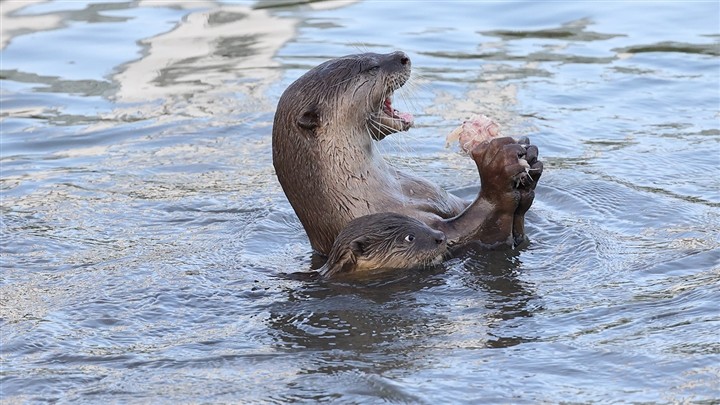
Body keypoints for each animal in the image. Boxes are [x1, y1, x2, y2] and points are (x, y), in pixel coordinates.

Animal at [272, 50, 544, 256]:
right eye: (370, 67)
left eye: (371, 53)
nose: (402, 56)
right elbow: (474, 229)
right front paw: (498, 165)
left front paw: (530, 160)